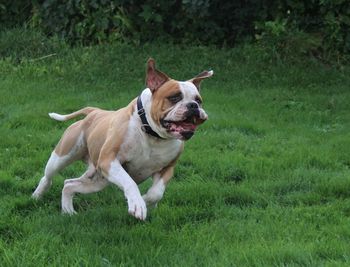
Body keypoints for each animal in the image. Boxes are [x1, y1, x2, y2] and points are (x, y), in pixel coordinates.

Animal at [32, 59, 213, 221]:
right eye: (175, 97)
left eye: (199, 100)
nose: (193, 106)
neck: (152, 134)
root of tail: (94, 111)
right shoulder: (109, 160)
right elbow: (130, 182)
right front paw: (138, 204)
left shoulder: (167, 169)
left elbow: (157, 193)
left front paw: (146, 201)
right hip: (63, 157)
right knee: (48, 177)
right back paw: (37, 195)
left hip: (98, 179)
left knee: (69, 184)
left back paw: (68, 211)